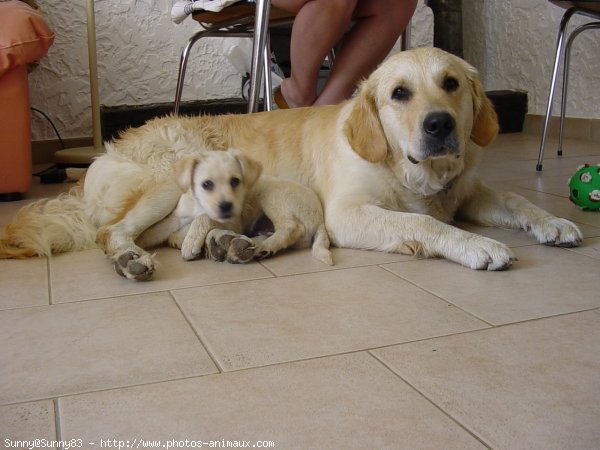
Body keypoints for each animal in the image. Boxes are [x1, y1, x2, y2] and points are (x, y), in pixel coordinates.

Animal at [0, 47, 580, 276]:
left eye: (452, 84)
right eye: (399, 93)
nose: (440, 125)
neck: (411, 170)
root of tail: (102, 152)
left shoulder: (468, 189)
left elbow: (516, 198)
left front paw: (555, 222)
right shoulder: (347, 213)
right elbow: (421, 222)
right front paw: (479, 245)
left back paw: (225, 241)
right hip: (167, 177)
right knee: (112, 233)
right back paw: (131, 261)